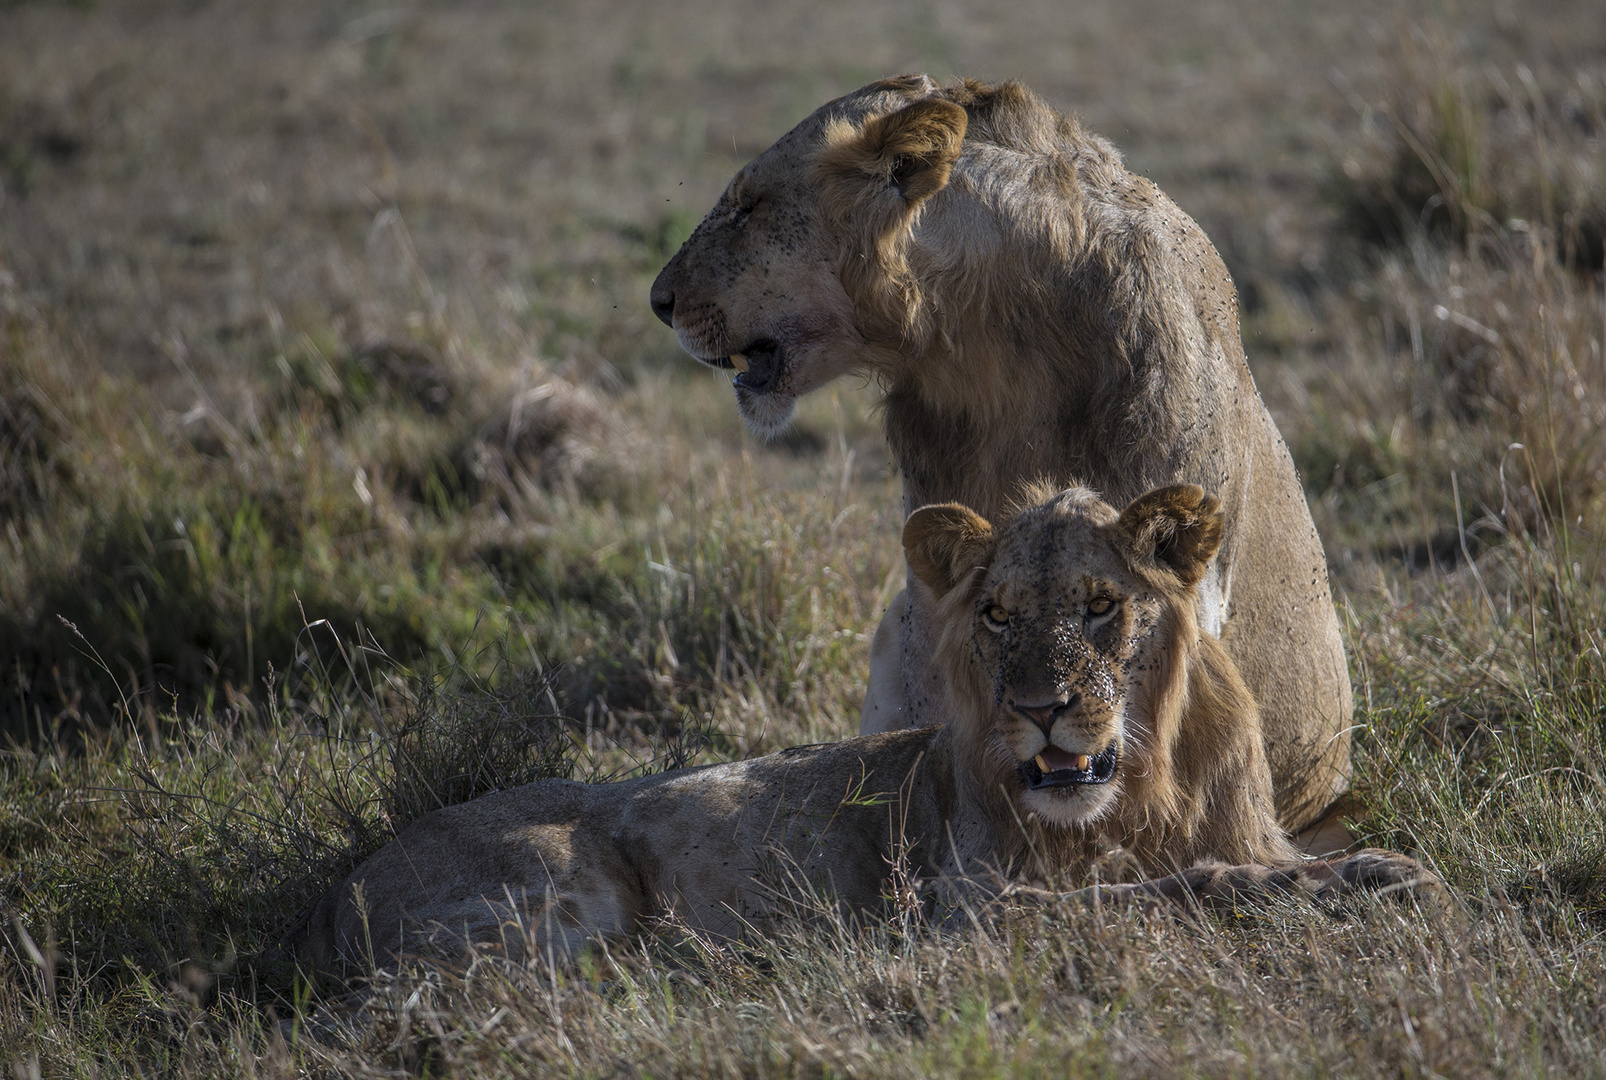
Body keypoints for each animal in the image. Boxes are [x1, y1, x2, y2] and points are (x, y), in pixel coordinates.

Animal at [292, 482, 1432, 970]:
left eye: (1102, 604)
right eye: (997, 614)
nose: (1040, 711)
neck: (1139, 795)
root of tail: (336, 893)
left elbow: (1258, 863)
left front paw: (1371, 871)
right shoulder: (965, 909)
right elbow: (1163, 891)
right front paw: (1363, 886)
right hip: (555, 899)